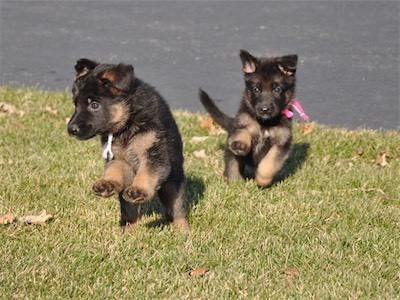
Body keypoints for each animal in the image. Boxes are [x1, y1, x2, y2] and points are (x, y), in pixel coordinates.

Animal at [67, 59, 189, 232]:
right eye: (76, 104)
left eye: (94, 105)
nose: (70, 129)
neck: (128, 123)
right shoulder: (119, 159)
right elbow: (114, 171)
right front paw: (107, 184)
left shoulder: (154, 155)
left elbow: (147, 174)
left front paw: (139, 190)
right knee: (131, 214)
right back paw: (130, 232)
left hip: (173, 182)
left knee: (177, 211)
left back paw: (183, 231)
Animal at [199, 50, 296, 188]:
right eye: (256, 89)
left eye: (278, 89)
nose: (264, 110)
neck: (264, 123)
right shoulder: (242, 125)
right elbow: (243, 135)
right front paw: (240, 145)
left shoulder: (281, 143)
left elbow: (269, 165)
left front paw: (261, 180)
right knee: (232, 165)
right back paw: (234, 182)